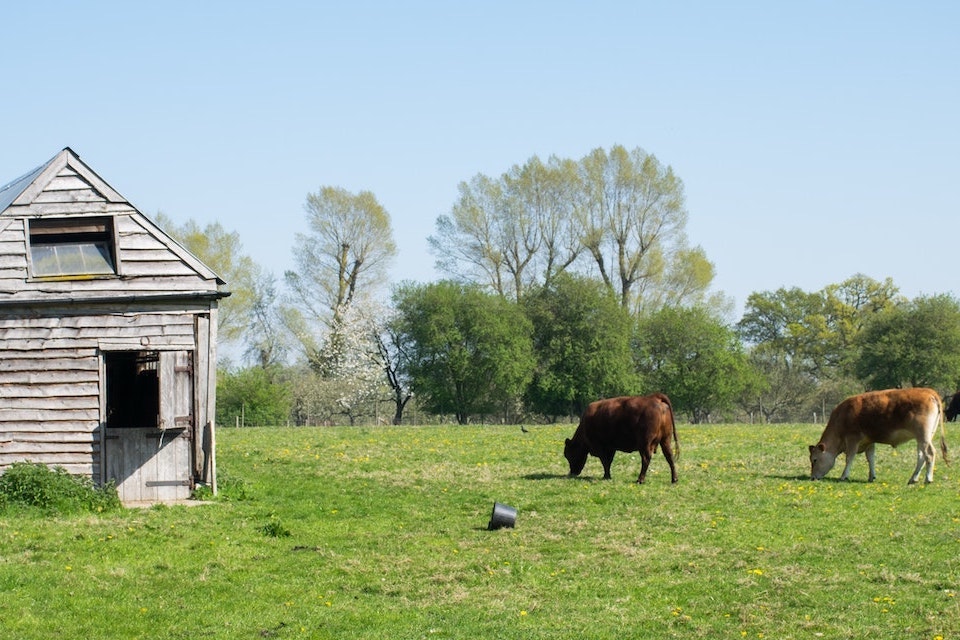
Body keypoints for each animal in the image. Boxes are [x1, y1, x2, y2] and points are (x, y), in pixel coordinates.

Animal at [808, 384, 944, 484]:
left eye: (814, 460)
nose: (812, 477)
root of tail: (929, 392)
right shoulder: (869, 441)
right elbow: (871, 458)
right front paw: (871, 476)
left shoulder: (852, 439)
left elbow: (849, 458)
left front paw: (844, 476)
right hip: (923, 437)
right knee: (921, 456)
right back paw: (913, 479)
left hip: (923, 435)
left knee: (930, 453)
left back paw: (928, 479)